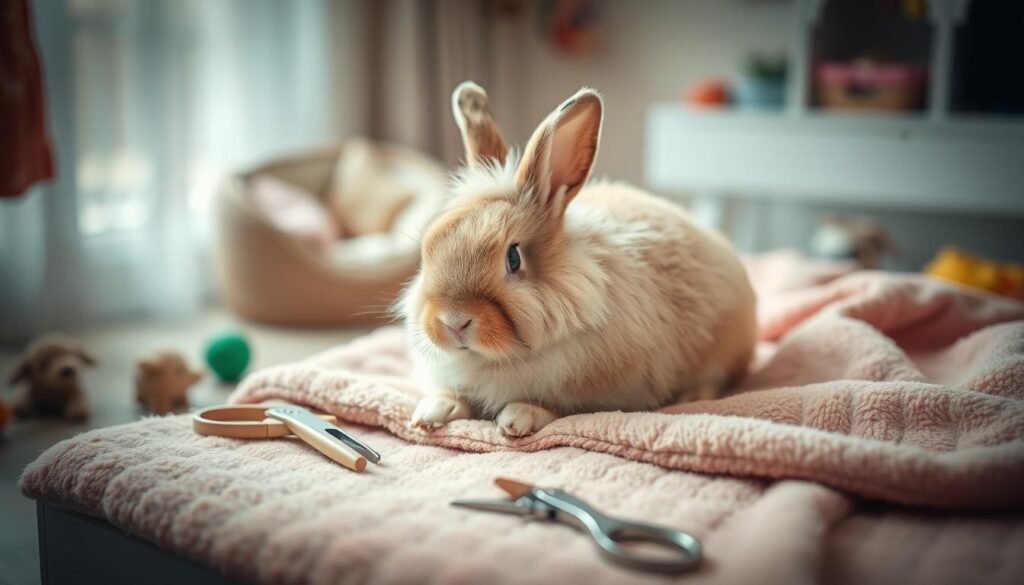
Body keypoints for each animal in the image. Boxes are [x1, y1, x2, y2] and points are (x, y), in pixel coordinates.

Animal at [399, 83, 761, 438]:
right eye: (427, 247)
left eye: (513, 257)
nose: (454, 323)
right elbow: (451, 395)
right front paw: (430, 413)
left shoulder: (604, 391)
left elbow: (559, 407)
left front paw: (518, 417)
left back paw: (691, 396)